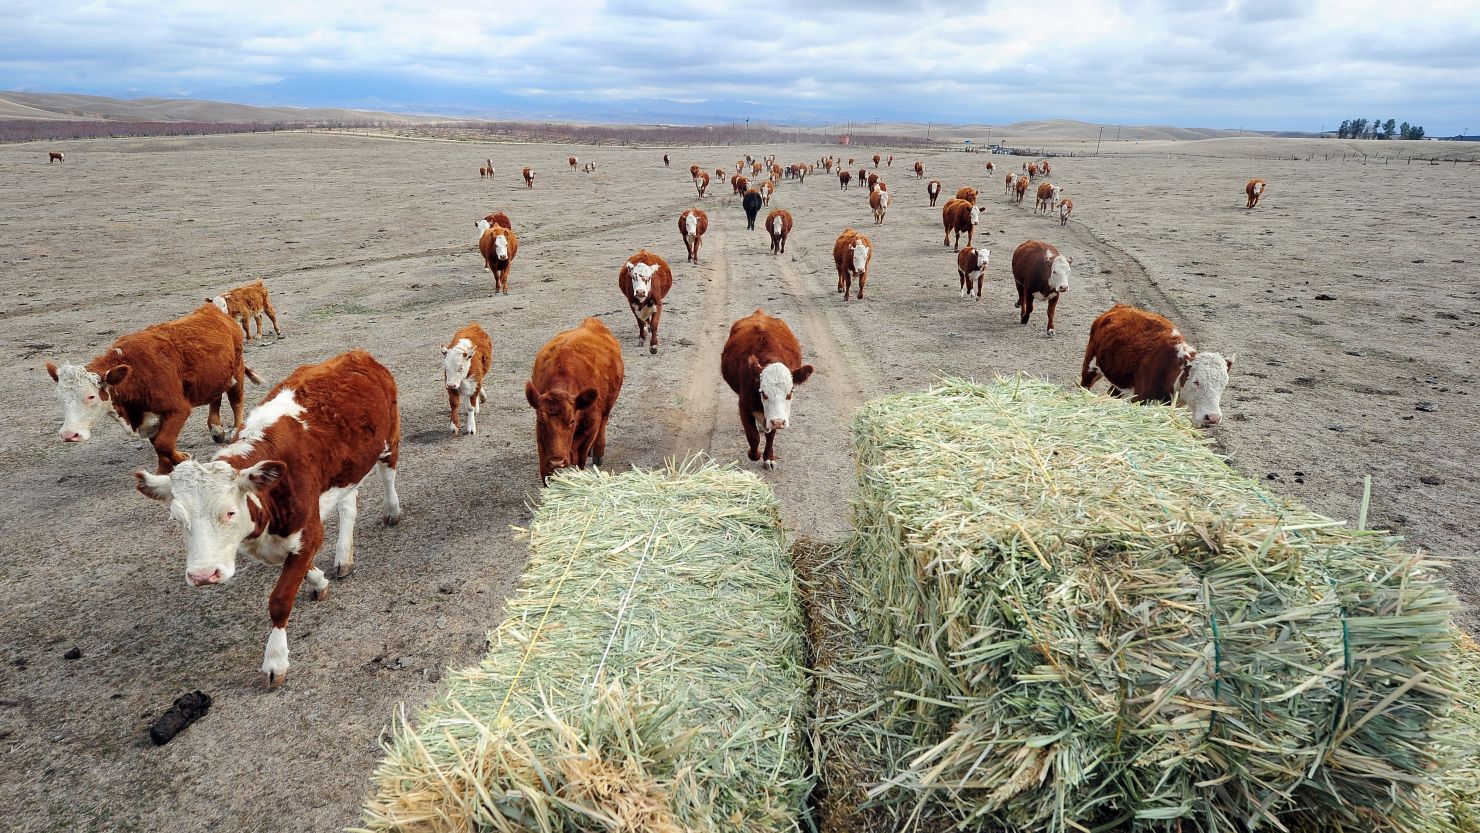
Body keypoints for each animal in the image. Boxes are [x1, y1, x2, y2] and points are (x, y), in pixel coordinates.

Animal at [48, 303, 258, 474]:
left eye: (91, 397)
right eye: (60, 399)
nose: (69, 435)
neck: (135, 371)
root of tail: (214, 310)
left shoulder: (178, 409)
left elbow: (163, 443)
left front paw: (180, 459)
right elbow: (157, 443)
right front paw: (164, 467)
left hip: (237, 370)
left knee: (236, 400)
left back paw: (236, 430)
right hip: (213, 377)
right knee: (215, 397)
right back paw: (216, 429)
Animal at [134, 349, 402, 687]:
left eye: (230, 512)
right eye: (177, 519)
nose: (203, 576)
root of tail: (355, 354)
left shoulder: (308, 529)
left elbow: (280, 599)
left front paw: (275, 661)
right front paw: (319, 579)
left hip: (389, 437)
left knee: (388, 474)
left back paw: (392, 511)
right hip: (346, 470)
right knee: (348, 505)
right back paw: (344, 557)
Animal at [525, 318, 624, 482]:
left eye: (571, 421)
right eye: (541, 421)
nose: (557, 461)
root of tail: (592, 323)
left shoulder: (589, 431)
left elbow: (580, 462)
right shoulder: (541, 440)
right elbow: (545, 471)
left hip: (608, 405)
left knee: (604, 422)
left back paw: (598, 452)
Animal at [719, 310, 815, 471]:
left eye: (790, 393)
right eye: (763, 393)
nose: (778, 422)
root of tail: (759, 313)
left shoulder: (775, 415)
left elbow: (771, 435)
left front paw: (769, 458)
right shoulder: (744, 406)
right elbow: (753, 436)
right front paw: (754, 454)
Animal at [1080, 304, 1235, 427]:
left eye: (1224, 384)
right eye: (1196, 382)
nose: (1213, 418)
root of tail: (1119, 307)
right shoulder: (1140, 399)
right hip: (1090, 366)